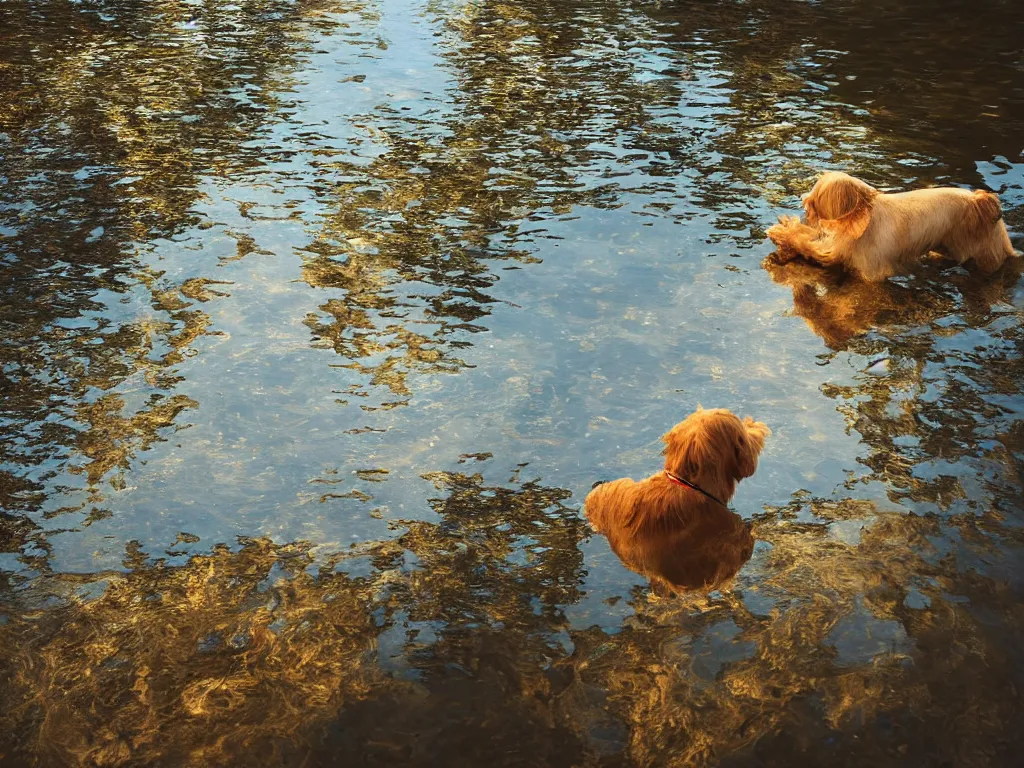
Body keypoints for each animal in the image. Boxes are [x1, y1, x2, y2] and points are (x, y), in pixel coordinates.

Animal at [765, 171, 1011, 282]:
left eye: (813, 204)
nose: (804, 207)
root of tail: (982, 201)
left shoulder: (869, 269)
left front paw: (781, 232)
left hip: (985, 253)